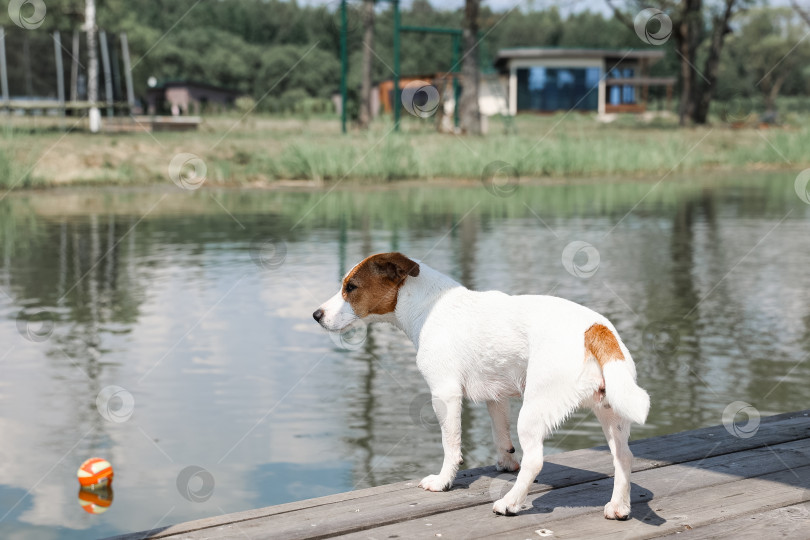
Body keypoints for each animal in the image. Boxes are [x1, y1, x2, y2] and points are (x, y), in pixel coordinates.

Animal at [312, 253, 648, 520]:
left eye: (351, 288)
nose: (316, 315)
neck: (428, 306)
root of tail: (596, 329)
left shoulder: (444, 395)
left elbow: (451, 445)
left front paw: (443, 481)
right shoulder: (495, 397)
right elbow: (501, 435)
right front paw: (506, 462)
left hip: (534, 410)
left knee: (535, 460)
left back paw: (510, 503)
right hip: (611, 412)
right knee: (624, 457)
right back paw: (619, 506)